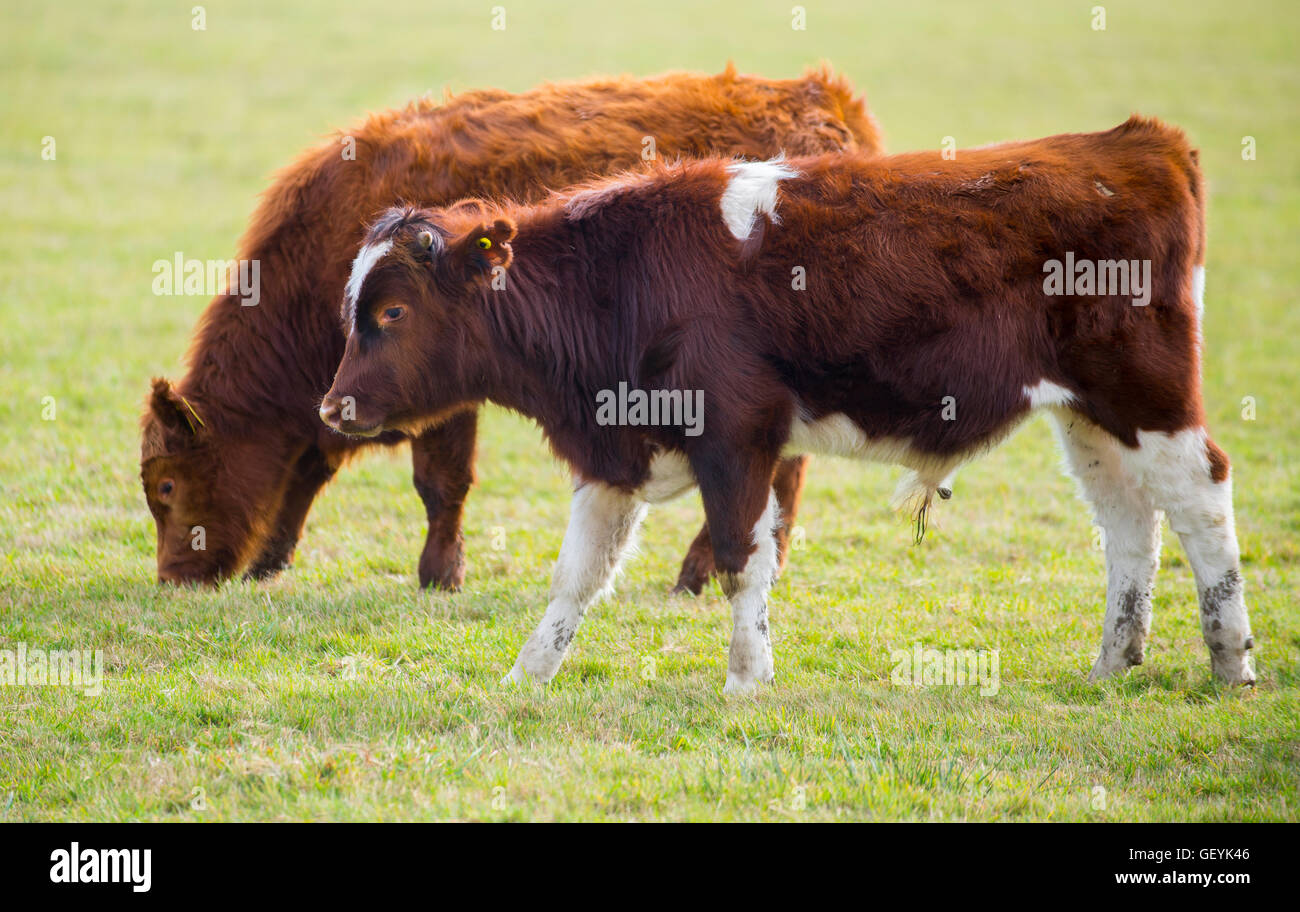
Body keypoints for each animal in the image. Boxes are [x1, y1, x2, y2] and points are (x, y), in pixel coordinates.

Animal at [139, 67, 883, 589]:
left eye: (167, 487)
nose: (173, 577)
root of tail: (826, 102)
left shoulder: (435, 395)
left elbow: (439, 484)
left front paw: (439, 574)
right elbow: (311, 468)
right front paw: (272, 559)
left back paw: (704, 570)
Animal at [319, 118, 1253, 696]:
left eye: (392, 314)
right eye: (353, 307)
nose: (334, 407)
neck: (622, 280)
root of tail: (1135, 143)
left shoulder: (736, 437)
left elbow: (741, 558)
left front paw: (745, 678)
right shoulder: (616, 451)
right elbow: (578, 576)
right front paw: (525, 678)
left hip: (1147, 394)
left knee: (1201, 498)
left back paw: (1232, 662)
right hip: (1088, 417)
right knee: (1129, 524)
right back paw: (1114, 661)